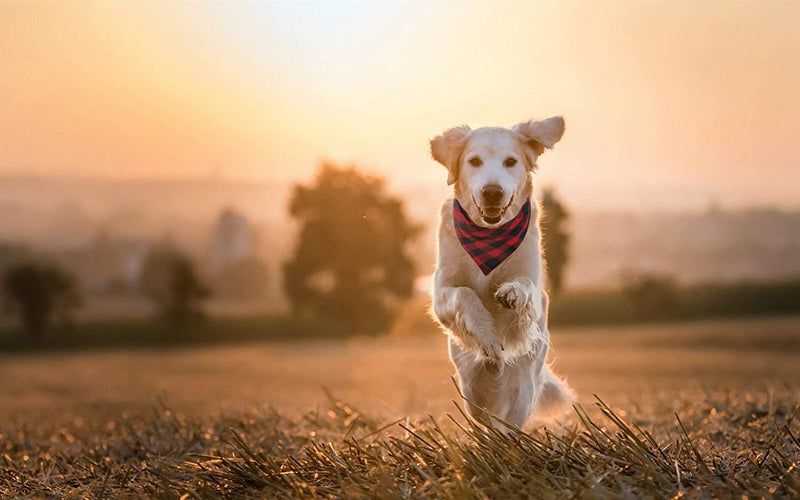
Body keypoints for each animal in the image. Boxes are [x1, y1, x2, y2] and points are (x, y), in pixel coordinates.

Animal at [432, 117, 576, 430]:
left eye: (511, 161)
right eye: (474, 161)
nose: (492, 192)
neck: (489, 235)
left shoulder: (533, 283)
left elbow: (525, 288)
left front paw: (511, 293)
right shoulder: (441, 293)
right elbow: (465, 295)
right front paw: (487, 336)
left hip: (525, 382)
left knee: (511, 422)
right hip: (471, 388)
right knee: (485, 418)